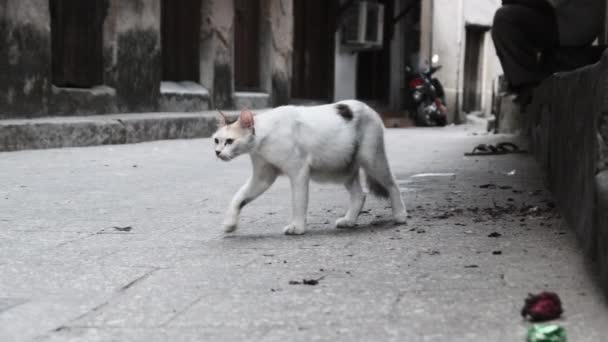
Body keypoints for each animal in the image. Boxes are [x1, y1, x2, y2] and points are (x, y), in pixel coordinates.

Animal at [214, 99, 408, 235]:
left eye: (229, 141)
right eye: (216, 140)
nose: (217, 152)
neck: (263, 139)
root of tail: (369, 108)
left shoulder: (298, 172)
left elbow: (298, 201)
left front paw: (298, 227)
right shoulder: (263, 177)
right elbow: (239, 197)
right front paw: (230, 223)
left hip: (373, 160)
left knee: (392, 184)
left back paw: (400, 215)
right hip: (344, 169)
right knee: (360, 195)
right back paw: (349, 220)